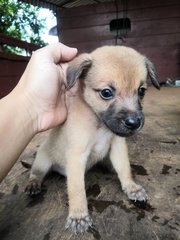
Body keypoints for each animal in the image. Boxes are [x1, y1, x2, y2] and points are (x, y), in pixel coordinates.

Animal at [25, 46, 159, 233]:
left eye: (141, 91)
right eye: (106, 93)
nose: (134, 123)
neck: (99, 124)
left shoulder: (117, 147)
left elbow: (124, 168)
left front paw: (131, 187)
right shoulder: (77, 155)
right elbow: (77, 189)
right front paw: (79, 215)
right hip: (42, 161)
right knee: (36, 172)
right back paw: (33, 183)